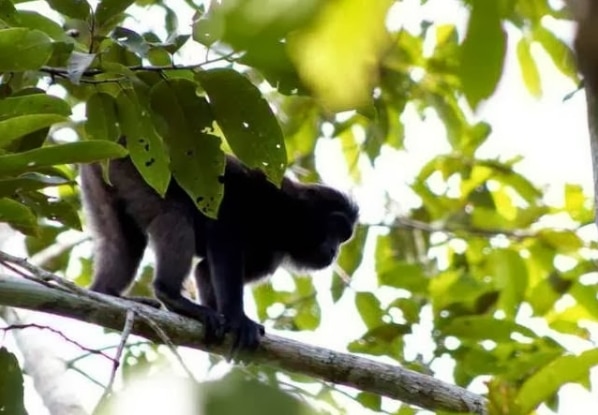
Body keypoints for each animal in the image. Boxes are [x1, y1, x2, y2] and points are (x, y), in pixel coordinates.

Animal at [81, 140, 360, 354]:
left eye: (342, 238)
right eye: (335, 230)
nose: (334, 251)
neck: (288, 218)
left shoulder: (270, 254)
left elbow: (205, 269)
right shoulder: (261, 195)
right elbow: (224, 239)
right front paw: (238, 319)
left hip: (104, 174)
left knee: (125, 240)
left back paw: (108, 292)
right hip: (137, 168)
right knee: (176, 214)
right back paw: (172, 295)